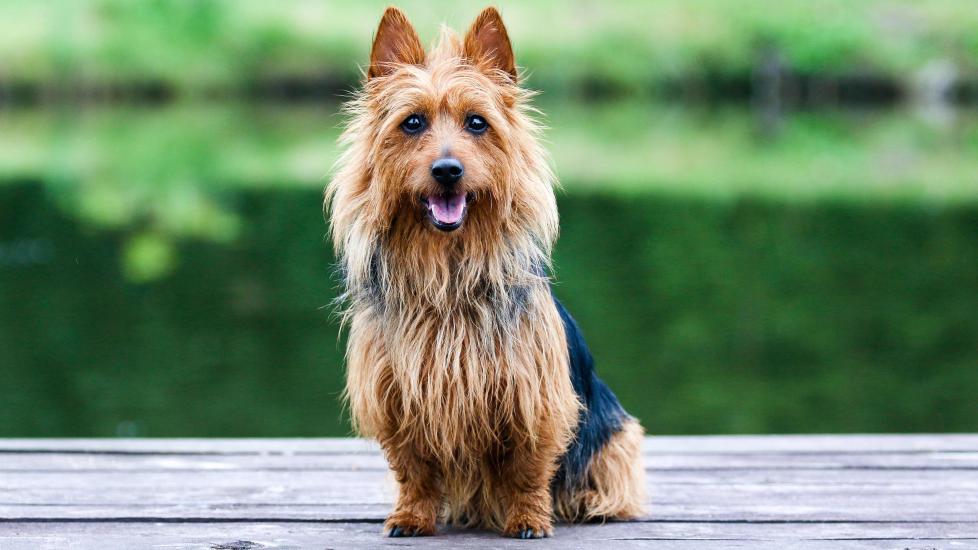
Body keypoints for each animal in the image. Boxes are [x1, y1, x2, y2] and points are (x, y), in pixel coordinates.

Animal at [328, 4, 644, 540]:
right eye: (412, 123)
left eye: (477, 123)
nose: (447, 170)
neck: (447, 271)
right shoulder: (395, 395)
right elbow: (412, 468)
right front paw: (412, 516)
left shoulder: (532, 394)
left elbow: (528, 467)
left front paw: (529, 518)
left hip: (618, 436)